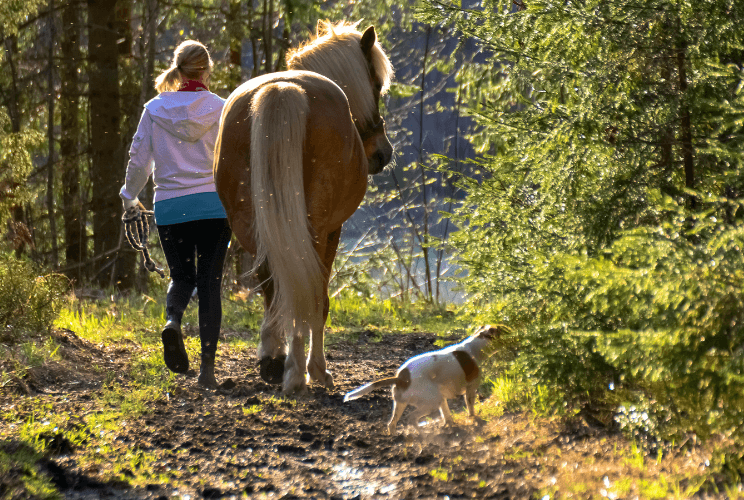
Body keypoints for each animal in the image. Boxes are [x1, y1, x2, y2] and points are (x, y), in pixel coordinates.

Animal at [213, 21, 394, 394]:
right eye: (376, 84)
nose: (382, 152)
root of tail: (283, 90)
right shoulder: (333, 230)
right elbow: (319, 300)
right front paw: (317, 370)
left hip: (251, 224)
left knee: (274, 283)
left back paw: (274, 360)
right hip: (313, 227)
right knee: (303, 290)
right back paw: (300, 372)